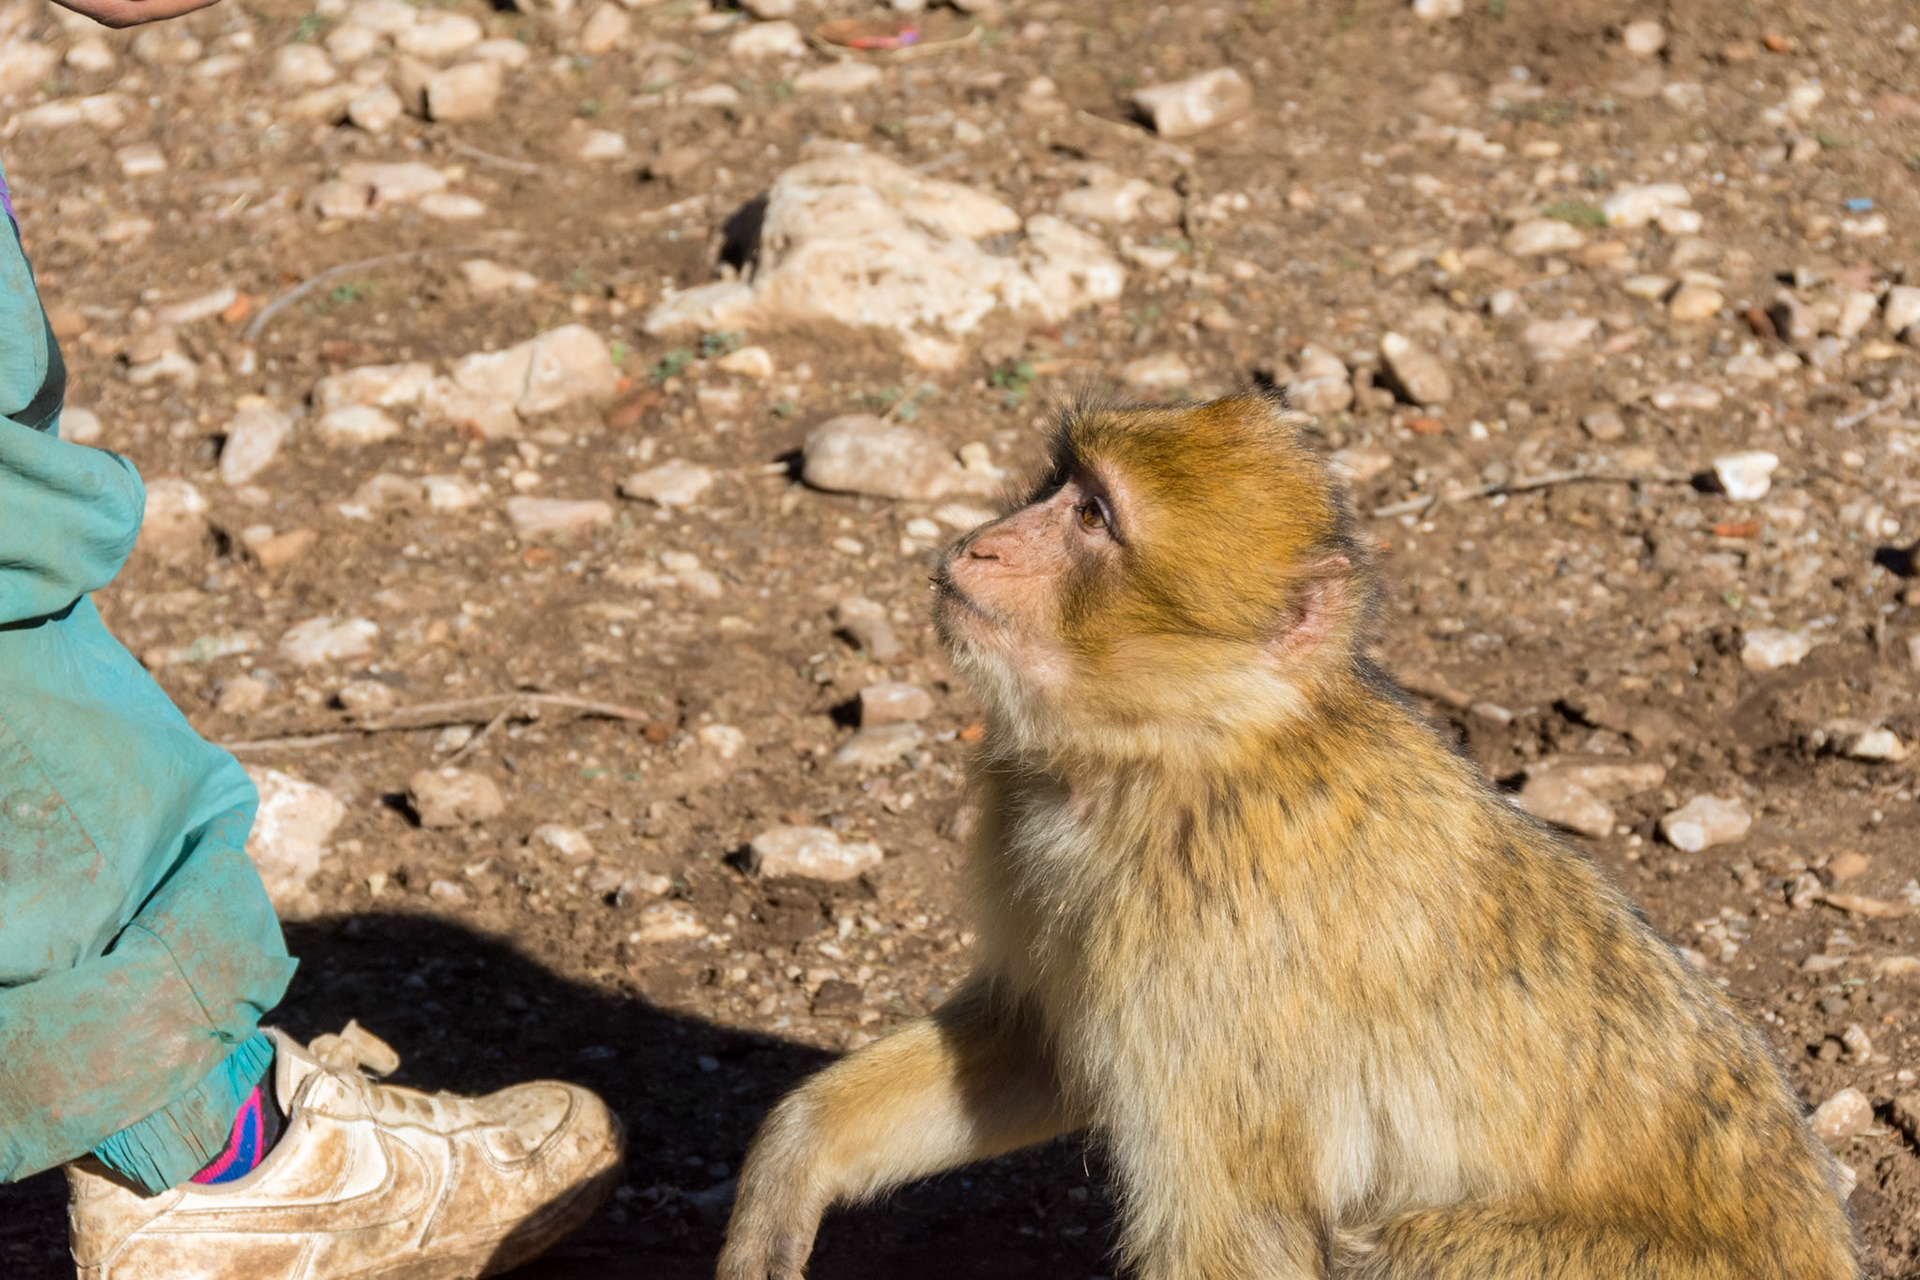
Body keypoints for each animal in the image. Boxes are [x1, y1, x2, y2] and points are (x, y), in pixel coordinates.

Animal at [718, 392, 1859, 1280]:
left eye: (1091, 516)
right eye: (1058, 484)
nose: (982, 540)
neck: (1177, 760)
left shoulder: (1212, 951)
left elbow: (1234, 1235)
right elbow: (1036, 1046)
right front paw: (792, 1163)